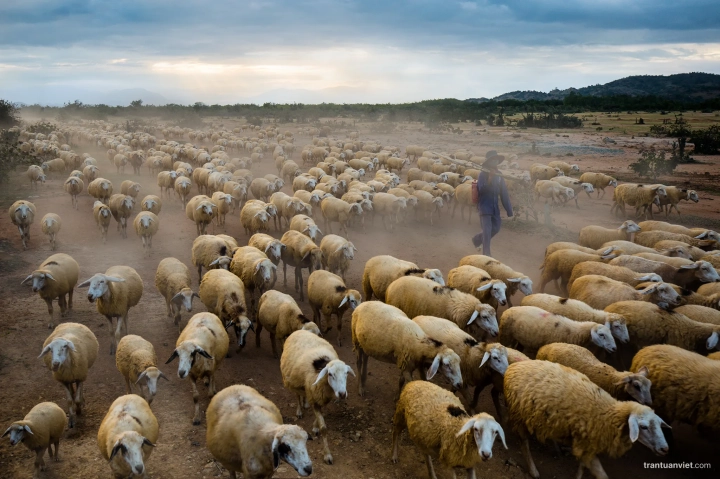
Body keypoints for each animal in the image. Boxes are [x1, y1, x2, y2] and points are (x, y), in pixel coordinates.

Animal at [504, 360, 669, 479]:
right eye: (643, 427)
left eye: (659, 425)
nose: (664, 449)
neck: (608, 412)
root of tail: (515, 366)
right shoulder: (587, 443)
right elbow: (600, 474)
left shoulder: (588, 444)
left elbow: (583, 466)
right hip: (519, 415)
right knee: (524, 443)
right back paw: (533, 470)